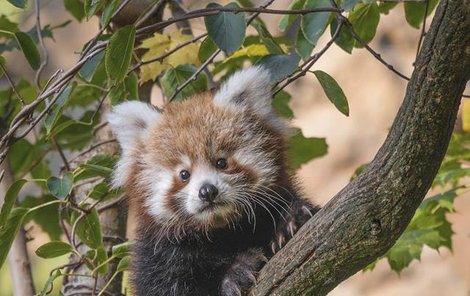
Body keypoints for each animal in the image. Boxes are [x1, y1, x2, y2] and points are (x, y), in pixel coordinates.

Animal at [108, 66, 318, 294]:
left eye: (221, 162)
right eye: (184, 174)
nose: (207, 191)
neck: (222, 231)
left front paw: (290, 219)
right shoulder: (157, 258)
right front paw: (235, 273)